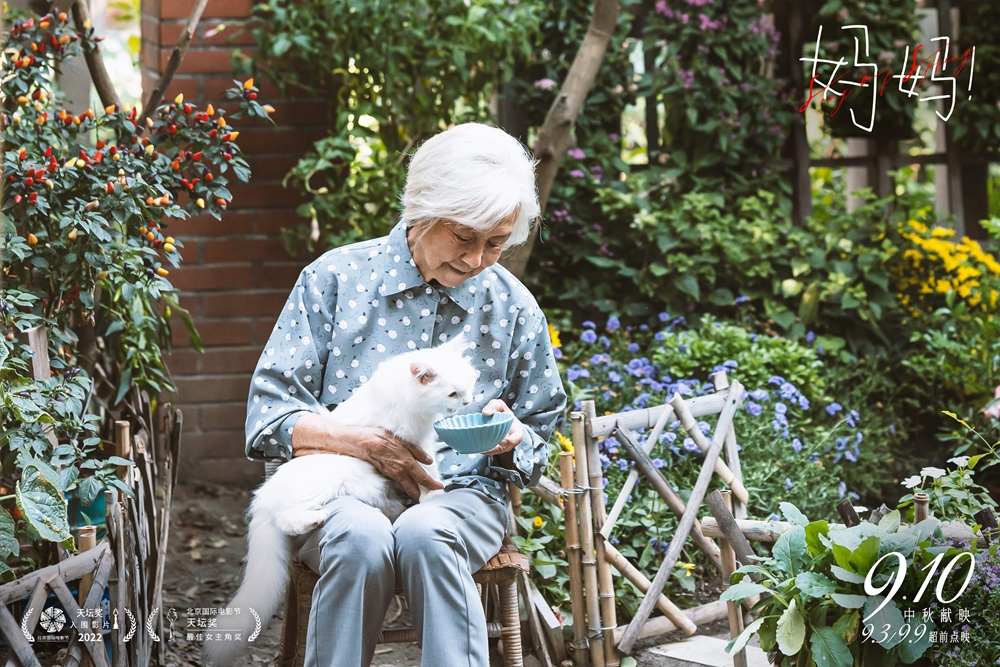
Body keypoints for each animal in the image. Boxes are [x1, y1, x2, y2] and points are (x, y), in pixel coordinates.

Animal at [202, 336, 476, 664]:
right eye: (452, 393)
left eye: (470, 385)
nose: (468, 402)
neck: (406, 397)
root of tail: (262, 500)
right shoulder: (413, 446)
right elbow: (429, 474)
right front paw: (436, 494)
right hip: (328, 483)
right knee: (287, 518)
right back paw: (315, 518)